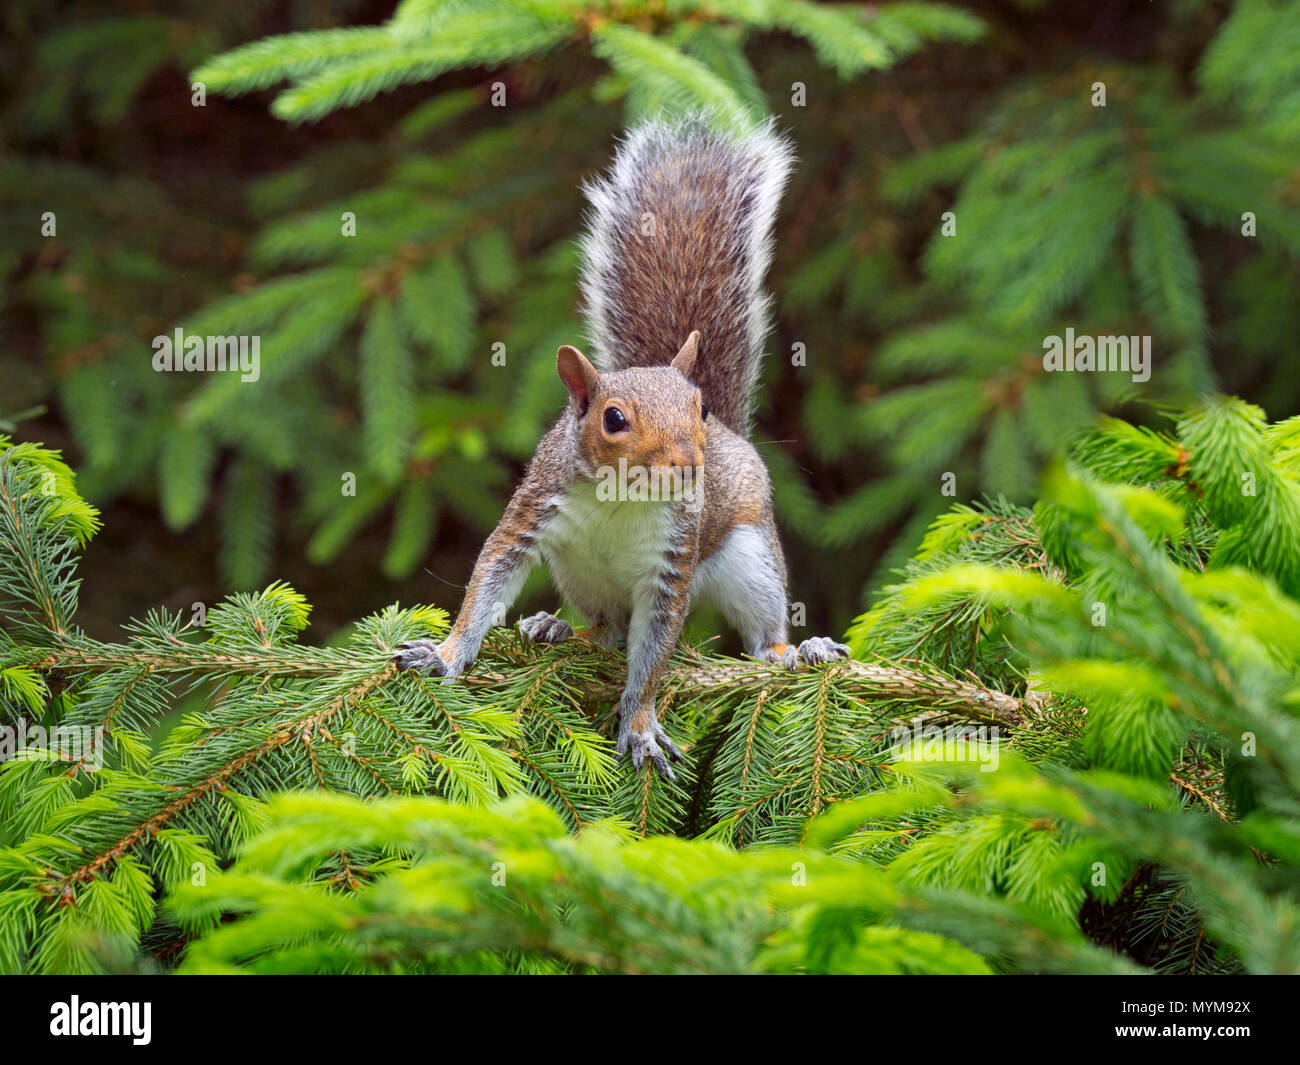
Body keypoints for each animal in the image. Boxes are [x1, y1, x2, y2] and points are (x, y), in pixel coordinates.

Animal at [392, 114, 849, 777]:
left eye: (698, 408)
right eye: (613, 419)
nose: (690, 463)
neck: (621, 498)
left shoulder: (671, 567)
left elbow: (653, 657)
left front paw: (638, 725)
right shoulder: (533, 510)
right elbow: (489, 581)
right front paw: (447, 655)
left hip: (751, 558)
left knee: (760, 632)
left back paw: (796, 650)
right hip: (579, 572)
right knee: (607, 630)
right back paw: (556, 630)